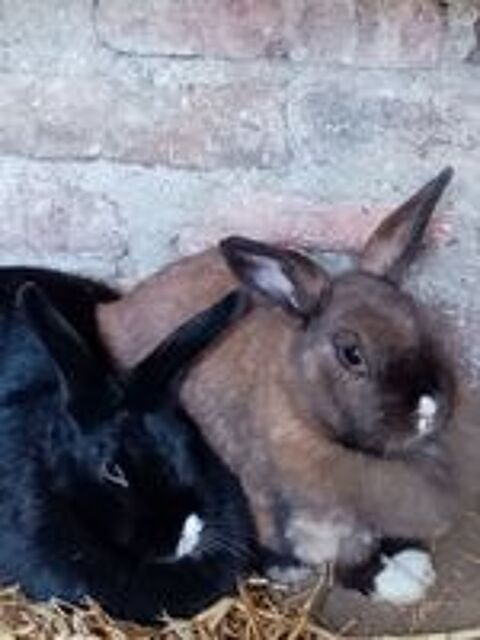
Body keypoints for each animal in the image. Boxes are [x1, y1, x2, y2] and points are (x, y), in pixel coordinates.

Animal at [96, 168, 459, 604]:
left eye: (421, 322)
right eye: (351, 354)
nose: (428, 407)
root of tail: (114, 310)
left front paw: (409, 561)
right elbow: (340, 557)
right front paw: (387, 579)